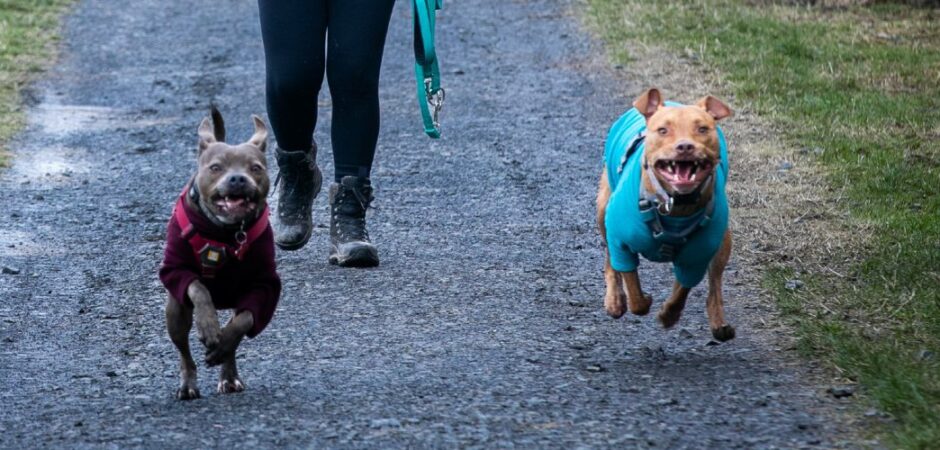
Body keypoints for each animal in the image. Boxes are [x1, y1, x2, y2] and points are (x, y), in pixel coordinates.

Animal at [158, 109, 280, 400]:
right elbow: (198, 287)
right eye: (215, 168)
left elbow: (244, 322)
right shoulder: (177, 271)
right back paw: (188, 385)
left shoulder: (263, 286)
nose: (237, 179)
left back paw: (229, 374)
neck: (226, 232)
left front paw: (221, 343)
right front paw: (208, 326)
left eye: (255, 168)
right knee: (184, 352)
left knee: (235, 333)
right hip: (175, 312)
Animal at [600, 89, 740, 342]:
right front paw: (641, 300)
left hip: (723, 241)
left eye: (702, 129)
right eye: (663, 130)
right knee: (609, 261)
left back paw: (719, 324)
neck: (675, 206)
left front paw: (669, 315)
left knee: (715, 283)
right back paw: (614, 301)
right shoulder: (620, 242)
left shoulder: (697, 256)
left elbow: (682, 290)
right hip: (602, 211)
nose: (685, 146)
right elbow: (632, 286)